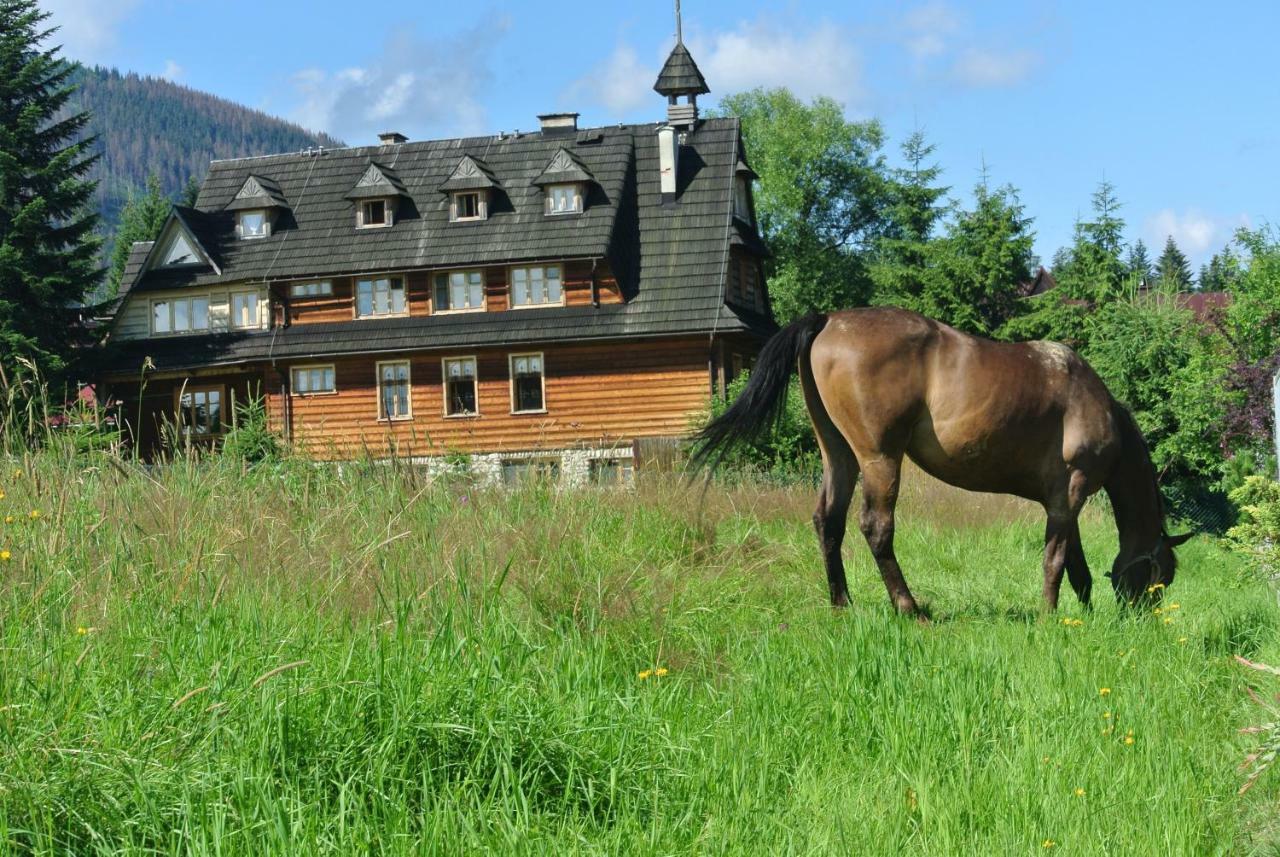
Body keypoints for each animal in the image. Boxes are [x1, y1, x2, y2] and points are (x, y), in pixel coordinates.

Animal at [696, 310, 1192, 619]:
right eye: (1161, 576)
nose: (1141, 620)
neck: (1093, 402)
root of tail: (828, 320)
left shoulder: (1061, 502)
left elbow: (1078, 568)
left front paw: (1082, 617)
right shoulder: (1071, 493)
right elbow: (1056, 562)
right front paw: (1050, 618)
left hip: (839, 454)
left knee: (828, 521)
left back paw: (842, 605)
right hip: (879, 460)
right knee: (876, 527)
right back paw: (909, 608)